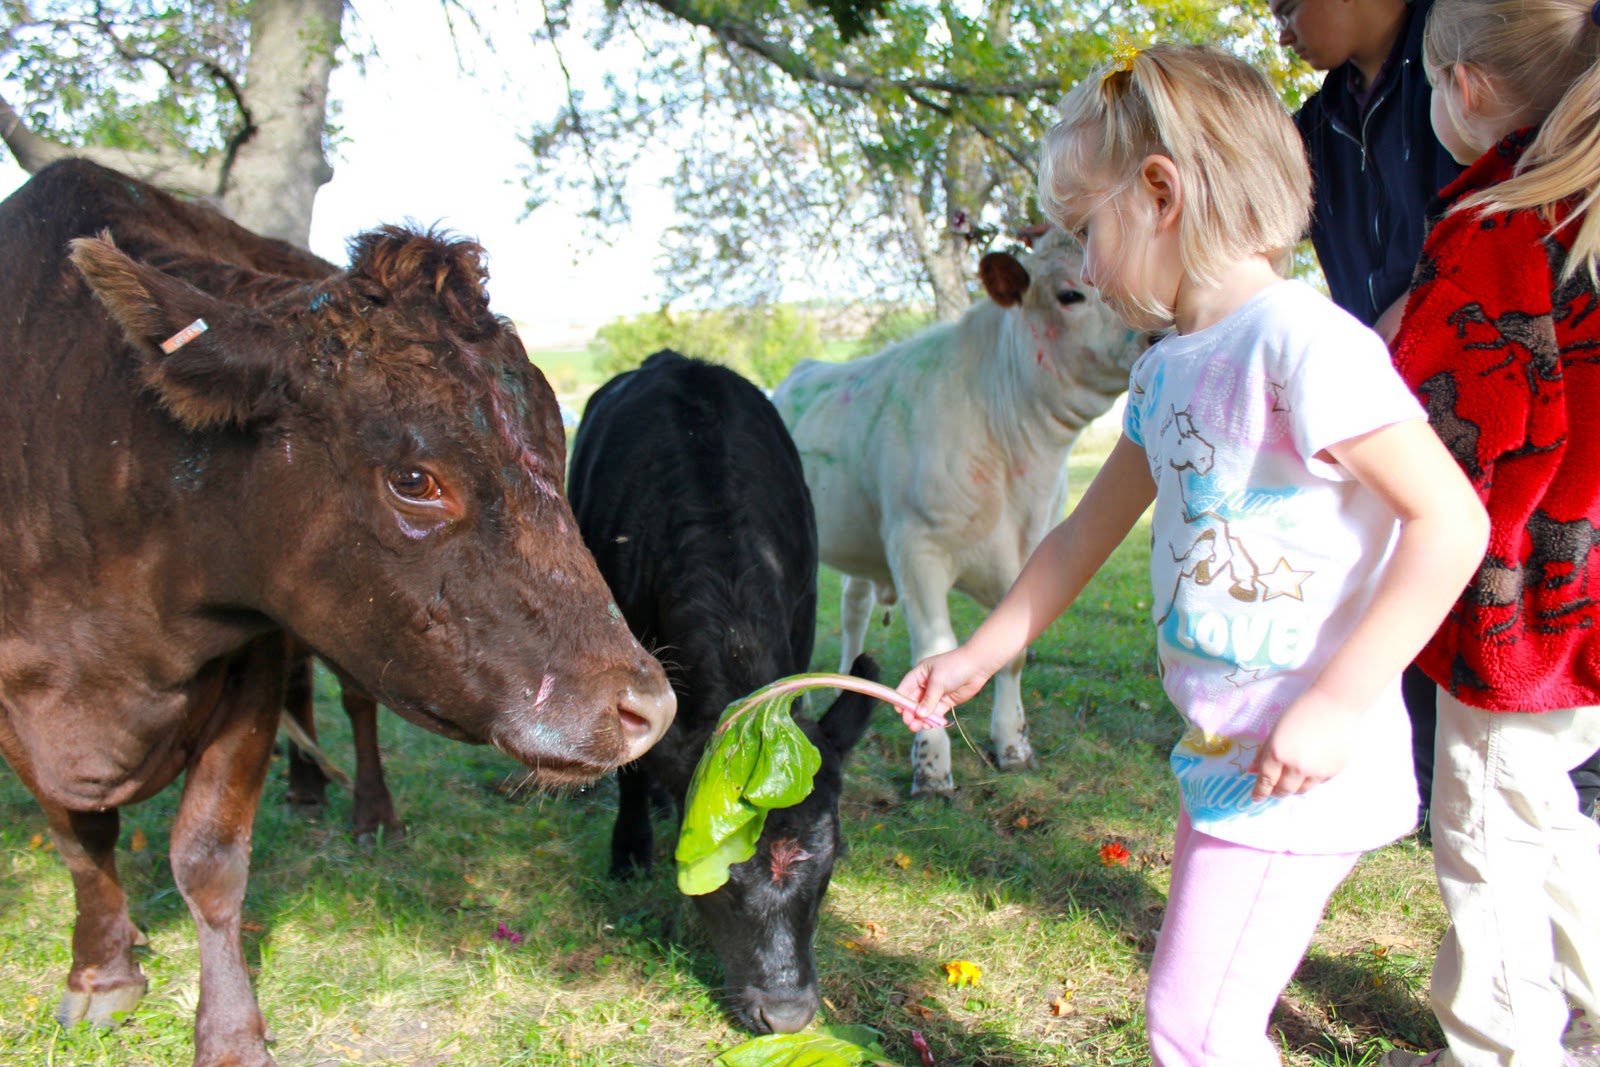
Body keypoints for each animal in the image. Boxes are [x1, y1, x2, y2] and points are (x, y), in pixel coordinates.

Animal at [0, 159, 675, 1067]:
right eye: (415, 479)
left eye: (558, 448)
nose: (648, 706)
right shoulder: (17, 709)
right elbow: (79, 839)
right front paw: (102, 971)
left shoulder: (247, 663)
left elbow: (209, 853)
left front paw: (228, 1032)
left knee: (349, 701)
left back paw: (360, 805)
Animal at [772, 227, 1148, 796]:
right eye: (1070, 294)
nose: (1154, 333)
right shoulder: (918, 550)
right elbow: (934, 652)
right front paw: (932, 768)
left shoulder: (1032, 556)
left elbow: (1011, 653)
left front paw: (1012, 744)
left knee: (854, 608)